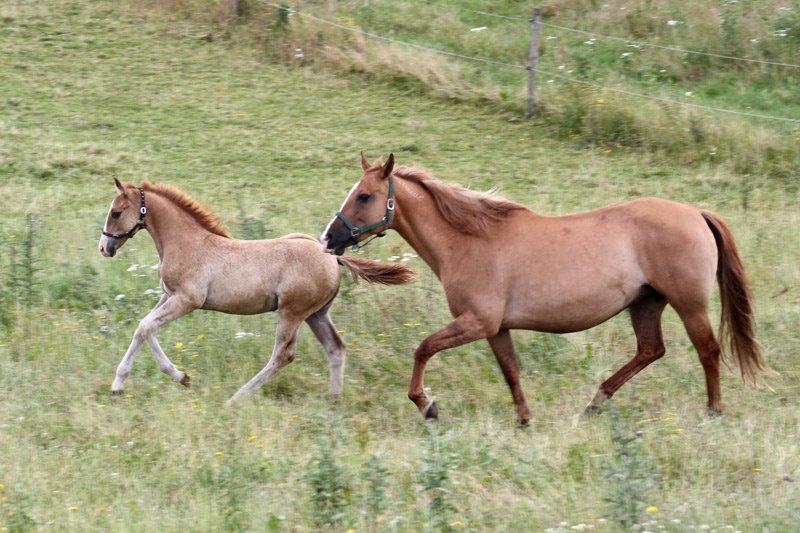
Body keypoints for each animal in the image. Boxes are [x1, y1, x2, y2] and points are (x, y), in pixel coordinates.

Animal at [97, 179, 416, 404]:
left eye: (116, 213)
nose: (104, 247)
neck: (188, 242)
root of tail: (330, 255)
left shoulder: (187, 300)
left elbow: (145, 327)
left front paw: (181, 376)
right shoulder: (168, 296)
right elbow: (143, 328)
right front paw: (118, 386)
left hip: (292, 311)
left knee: (283, 355)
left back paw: (237, 397)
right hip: (316, 314)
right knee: (335, 348)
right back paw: (334, 401)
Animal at [322, 154, 772, 424]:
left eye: (364, 196)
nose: (329, 239)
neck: (469, 240)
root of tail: (696, 212)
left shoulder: (478, 322)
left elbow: (423, 349)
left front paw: (427, 405)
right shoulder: (497, 328)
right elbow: (511, 370)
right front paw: (524, 419)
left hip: (688, 303)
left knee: (707, 350)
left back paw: (713, 410)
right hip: (646, 303)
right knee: (650, 350)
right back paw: (595, 402)